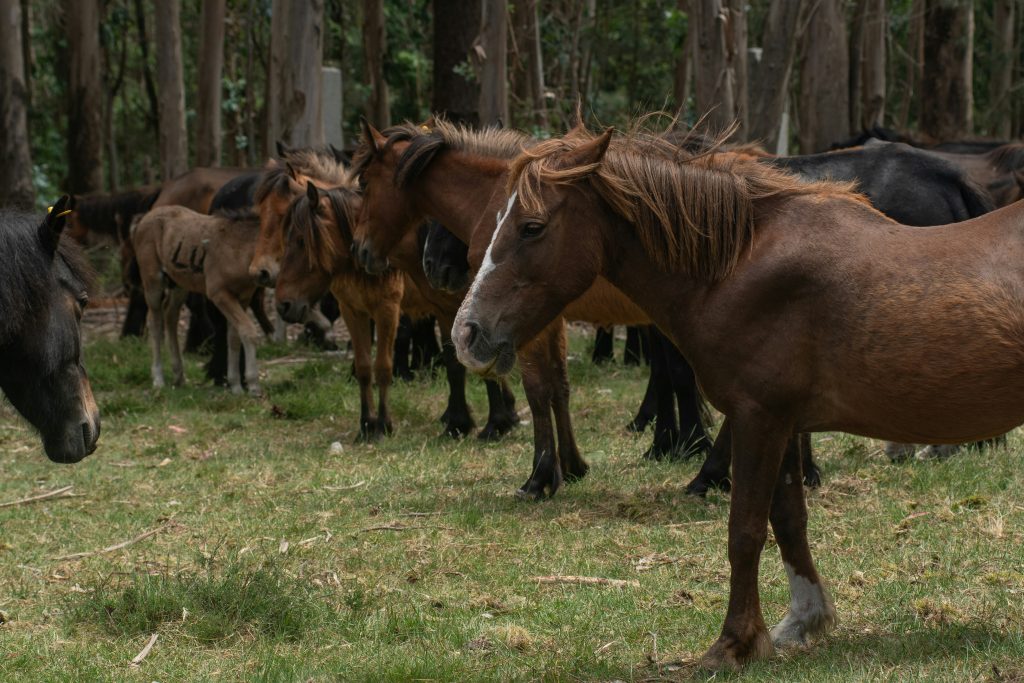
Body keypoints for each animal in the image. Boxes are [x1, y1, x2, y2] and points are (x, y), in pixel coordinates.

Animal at [132, 206, 263, 396]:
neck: (238, 246)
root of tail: (143, 218)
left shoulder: (243, 297)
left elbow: (234, 335)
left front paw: (236, 386)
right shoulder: (220, 294)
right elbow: (247, 331)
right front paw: (253, 386)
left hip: (179, 283)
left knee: (170, 314)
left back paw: (179, 375)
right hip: (153, 281)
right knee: (155, 320)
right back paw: (158, 378)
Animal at [452, 126, 1024, 668]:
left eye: (532, 226)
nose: (466, 333)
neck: (737, 265)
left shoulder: (758, 418)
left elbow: (744, 531)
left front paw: (734, 643)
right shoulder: (785, 423)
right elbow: (789, 520)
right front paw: (804, 620)